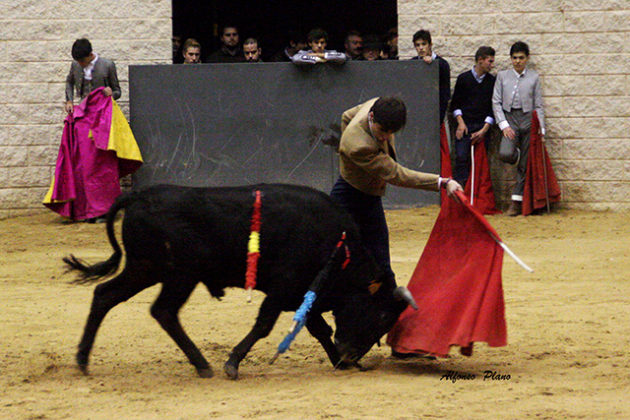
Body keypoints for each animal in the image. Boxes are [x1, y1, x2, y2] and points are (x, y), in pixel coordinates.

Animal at [64, 185, 418, 380]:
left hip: (144, 269)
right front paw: (232, 363)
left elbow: (318, 328)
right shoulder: (282, 288)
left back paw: (82, 359)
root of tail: (138, 195)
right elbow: (264, 325)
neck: (337, 244)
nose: (350, 356)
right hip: (178, 276)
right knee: (163, 311)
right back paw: (203, 364)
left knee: (105, 295)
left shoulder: (303, 293)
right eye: (382, 315)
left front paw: (338, 363)